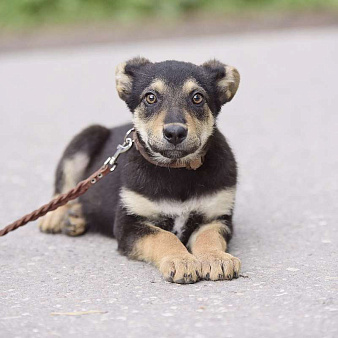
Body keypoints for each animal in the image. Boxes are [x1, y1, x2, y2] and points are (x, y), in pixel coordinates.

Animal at [39, 56, 240, 284]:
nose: (175, 133)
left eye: (197, 97)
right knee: (65, 189)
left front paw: (216, 258)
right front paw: (180, 260)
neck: (176, 170)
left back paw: (77, 218)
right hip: (87, 138)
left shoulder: (217, 216)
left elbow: (209, 236)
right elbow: (164, 236)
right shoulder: (129, 223)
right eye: (150, 97)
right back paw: (56, 216)